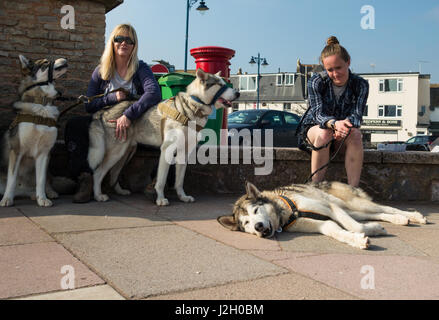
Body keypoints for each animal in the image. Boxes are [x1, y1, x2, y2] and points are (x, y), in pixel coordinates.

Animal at [0, 55, 68, 208]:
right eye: (45, 63)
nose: (66, 59)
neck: (42, 104)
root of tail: (22, 192)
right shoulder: (17, 151)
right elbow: (12, 179)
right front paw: (7, 199)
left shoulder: (44, 153)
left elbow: (41, 180)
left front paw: (42, 198)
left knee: (47, 181)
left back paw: (48, 193)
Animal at [88, 69, 241, 206]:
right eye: (219, 85)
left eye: (225, 83)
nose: (238, 93)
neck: (192, 108)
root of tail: (105, 111)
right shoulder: (167, 150)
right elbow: (161, 180)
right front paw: (160, 199)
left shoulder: (184, 153)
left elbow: (179, 181)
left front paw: (182, 197)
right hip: (116, 152)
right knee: (98, 173)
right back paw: (98, 195)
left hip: (125, 152)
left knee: (114, 173)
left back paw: (120, 191)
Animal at [218, 181, 428, 249]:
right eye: (246, 223)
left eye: (255, 211)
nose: (258, 227)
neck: (288, 212)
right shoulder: (319, 223)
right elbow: (334, 229)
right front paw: (357, 239)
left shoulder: (330, 208)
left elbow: (354, 226)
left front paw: (367, 232)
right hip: (353, 210)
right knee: (380, 214)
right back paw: (398, 220)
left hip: (351, 204)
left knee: (386, 208)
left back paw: (413, 216)